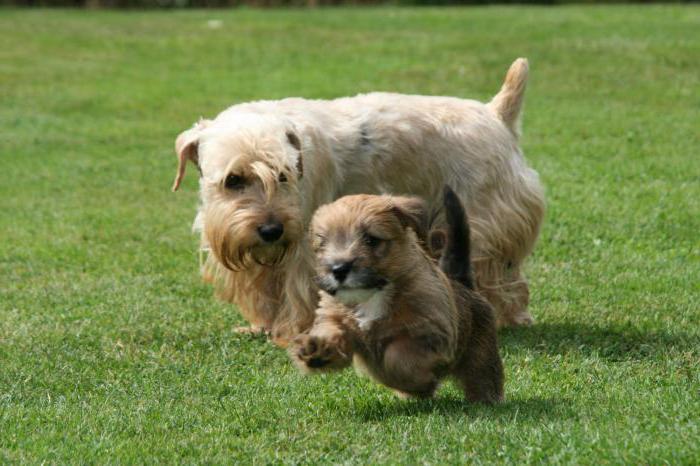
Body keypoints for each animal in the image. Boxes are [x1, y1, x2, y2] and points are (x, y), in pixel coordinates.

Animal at [172, 57, 544, 346]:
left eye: (283, 175)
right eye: (233, 180)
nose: (271, 230)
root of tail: (495, 113)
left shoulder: (305, 248)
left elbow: (300, 292)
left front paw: (296, 332)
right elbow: (265, 291)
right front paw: (260, 326)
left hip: (480, 223)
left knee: (501, 276)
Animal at [288, 187, 504, 402]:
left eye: (371, 240)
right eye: (323, 244)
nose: (339, 269)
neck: (373, 295)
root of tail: (462, 283)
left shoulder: (431, 333)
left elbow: (397, 356)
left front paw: (420, 380)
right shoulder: (335, 319)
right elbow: (334, 333)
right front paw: (317, 350)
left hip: (481, 355)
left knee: (482, 377)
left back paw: (484, 401)